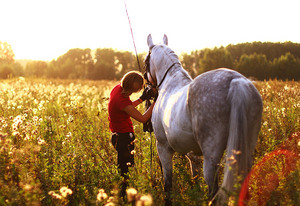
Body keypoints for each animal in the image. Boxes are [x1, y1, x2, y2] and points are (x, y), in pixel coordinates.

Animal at [145, 34, 262, 204]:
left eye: (146, 61)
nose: (149, 89)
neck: (170, 82)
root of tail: (236, 81)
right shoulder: (193, 154)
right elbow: (194, 178)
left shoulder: (163, 147)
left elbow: (168, 185)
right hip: (247, 150)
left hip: (211, 158)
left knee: (213, 193)